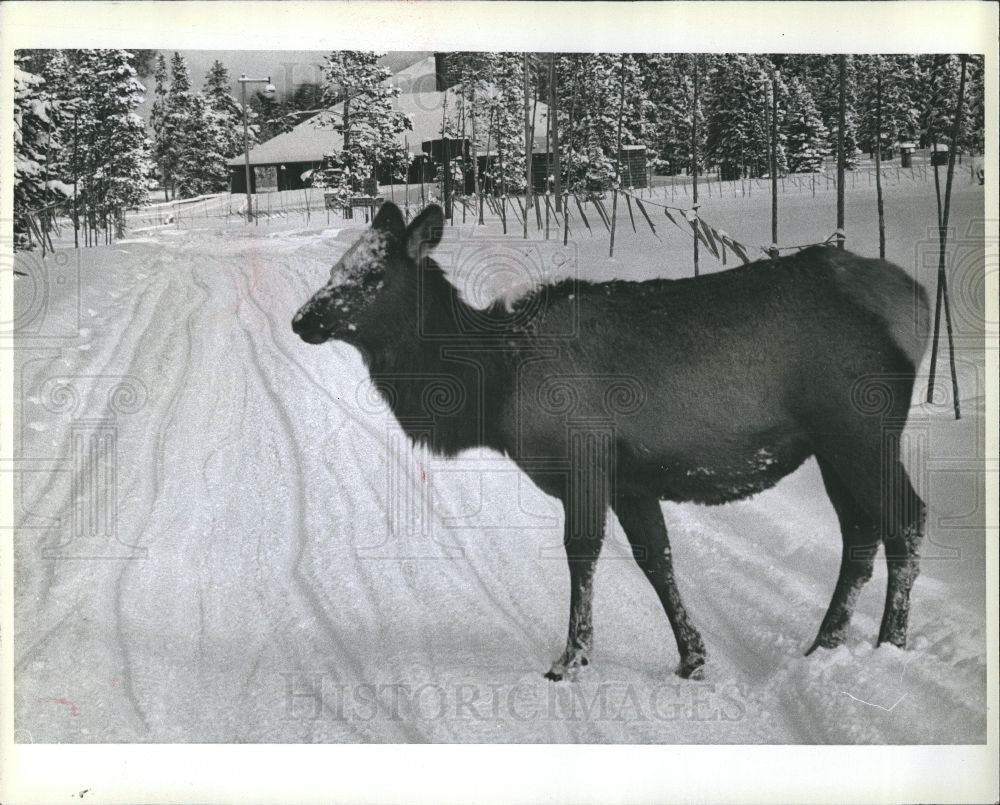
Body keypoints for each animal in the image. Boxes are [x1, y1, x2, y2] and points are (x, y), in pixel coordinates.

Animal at [292, 203, 932, 680]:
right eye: (335, 270)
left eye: (372, 275)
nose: (302, 320)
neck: (491, 387)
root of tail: (919, 299)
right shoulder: (631, 479)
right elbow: (657, 559)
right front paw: (692, 659)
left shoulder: (585, 459)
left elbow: (582, 554)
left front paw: (571, 659)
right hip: (829, 446)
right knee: (861, 531)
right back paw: (824, 643)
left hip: (858, 427)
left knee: (906, 519)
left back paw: (890, 644)